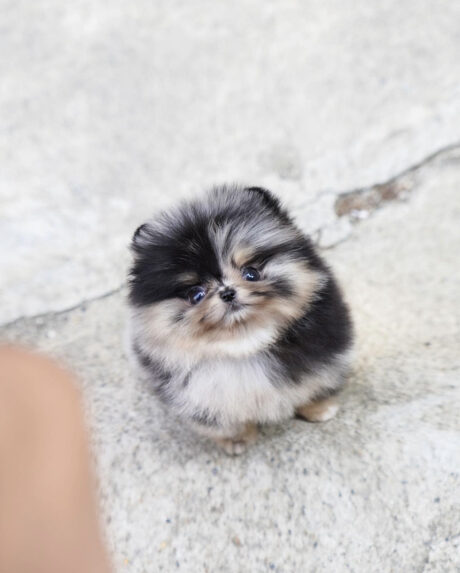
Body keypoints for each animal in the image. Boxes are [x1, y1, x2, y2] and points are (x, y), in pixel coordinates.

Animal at [127, 184, 354, 452]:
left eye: (251, 273)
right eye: (195, 294)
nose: (227, 292)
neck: (246, 342)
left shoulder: (323, 355)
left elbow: (315, 382)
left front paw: (319, 408)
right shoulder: (199, 398)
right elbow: (222, 421)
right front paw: (237, 440)